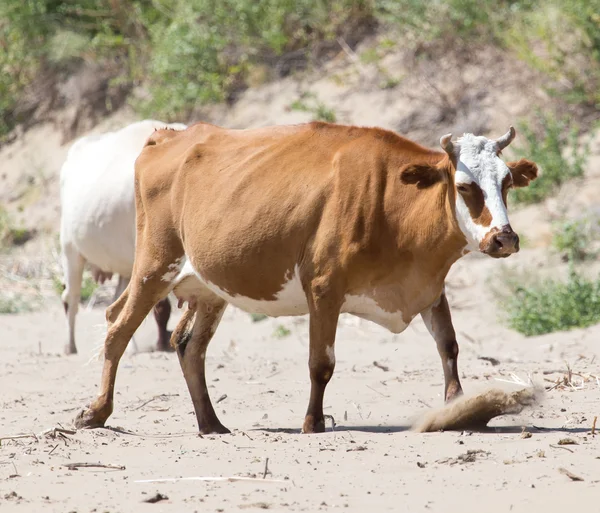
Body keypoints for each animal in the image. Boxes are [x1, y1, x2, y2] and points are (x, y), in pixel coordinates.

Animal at [72, 122, 536, 434]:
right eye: (465, 186)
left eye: (507, 182)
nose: (504, 238)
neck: (394, 205)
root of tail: (171, 135)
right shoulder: (324, 289)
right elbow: (321, 363)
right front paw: (313, 422)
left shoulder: (429, 289)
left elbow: (449, 347)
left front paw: (457, 408)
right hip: (153, 267)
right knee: (117, 328)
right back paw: (97, 412)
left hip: (208, 288)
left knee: (188, 346)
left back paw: (211, 423)